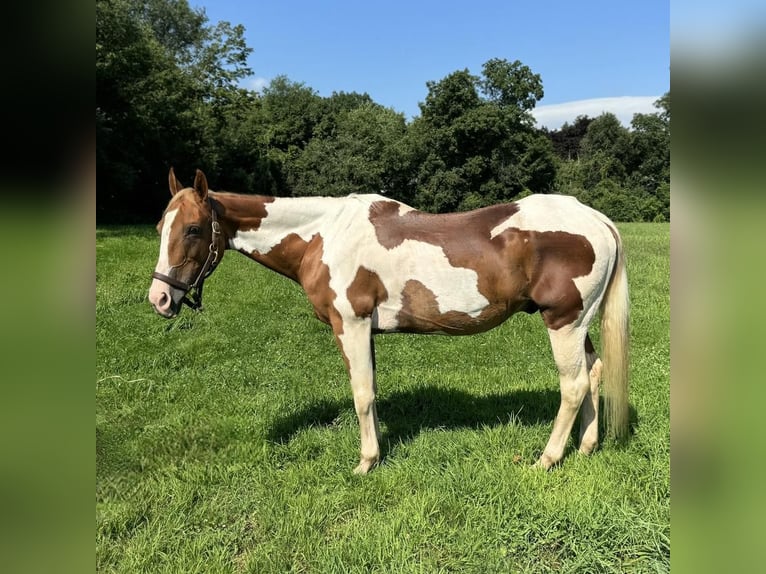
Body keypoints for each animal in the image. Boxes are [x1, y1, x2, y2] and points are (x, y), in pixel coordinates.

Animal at [148, 169, 632, 474]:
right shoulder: (365, 331)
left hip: (563, 323)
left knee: (573, 386)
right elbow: (373, 391)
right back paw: (586, 447)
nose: (160, 298)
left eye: (193, 229)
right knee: (594, 374)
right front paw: (378, 449)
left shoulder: (352, 324)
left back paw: (547, 459)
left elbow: (361, 394)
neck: (324, 235)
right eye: (159, 227)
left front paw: (365, 462)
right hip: (579, 325)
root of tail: (597, 219)